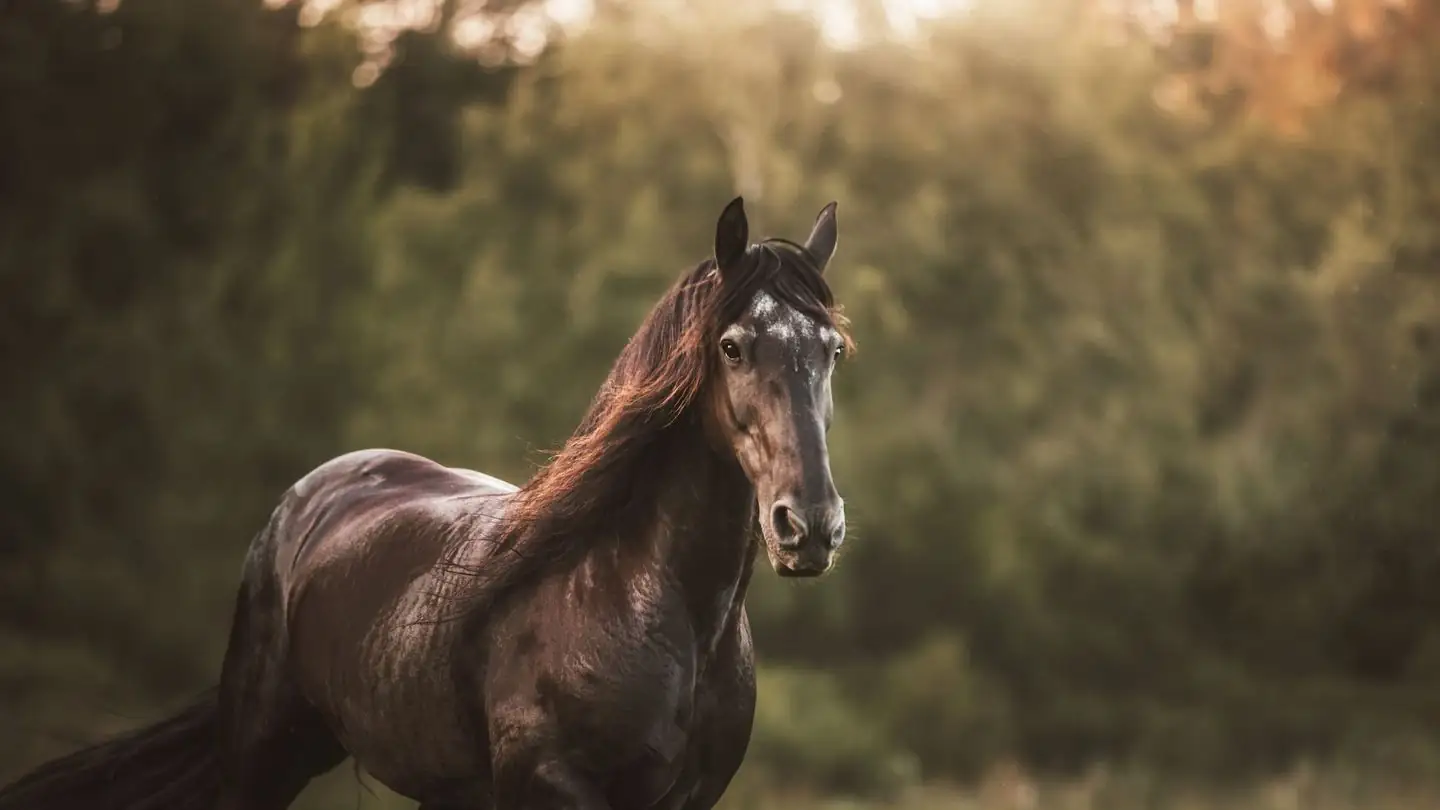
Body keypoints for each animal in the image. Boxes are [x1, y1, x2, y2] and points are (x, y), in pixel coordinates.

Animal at [0, 196, 854, 810]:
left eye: (832, 349)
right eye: (733, 346)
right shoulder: (553, 787)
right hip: (263, 757)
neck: (643, 599)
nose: (809, 527)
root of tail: (311, 495)